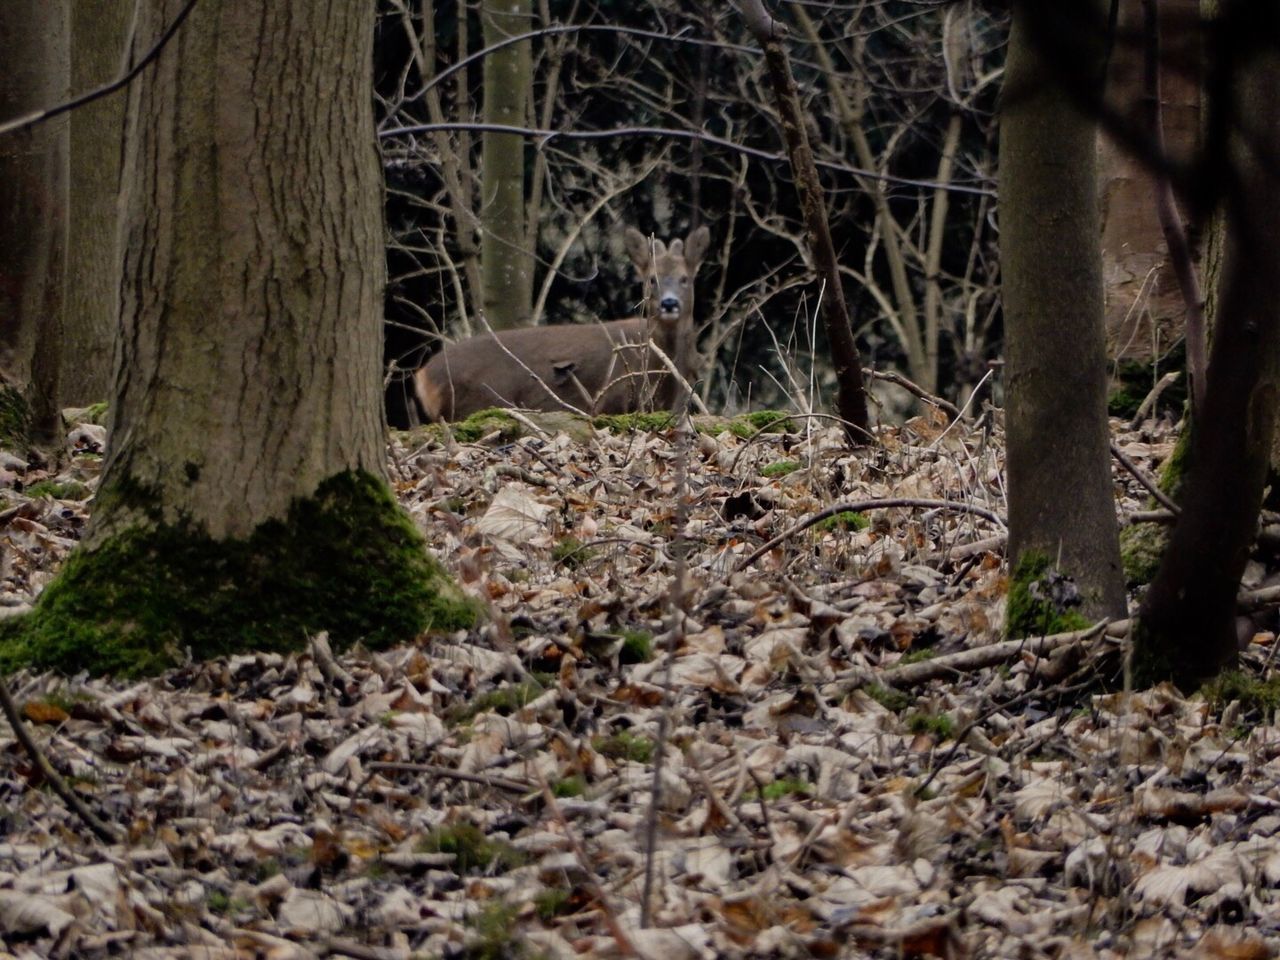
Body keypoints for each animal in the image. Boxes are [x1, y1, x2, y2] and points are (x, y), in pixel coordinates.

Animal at [414, 227, 711, 422]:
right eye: (652, 279)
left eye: (685, 279)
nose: (669, 303)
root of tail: (423, 376)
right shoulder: (613, 399)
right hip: (477, 400)